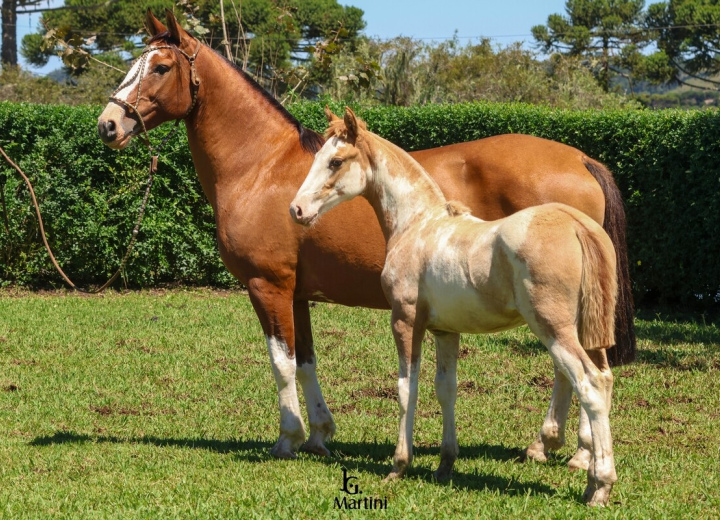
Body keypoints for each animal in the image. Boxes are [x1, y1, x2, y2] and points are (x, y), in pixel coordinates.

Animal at [292, 108, 620, 504]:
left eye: (336, 161)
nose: (297, 209)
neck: (418, 225)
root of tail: (574, 224)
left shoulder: (405, 321)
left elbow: (407, 388)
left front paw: (398, 465)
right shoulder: (445, 330)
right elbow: (445, 388)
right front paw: (445, 463)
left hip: (554, 329)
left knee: (590, 384)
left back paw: (599, 484)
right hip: (585, 330)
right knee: (604, 377)